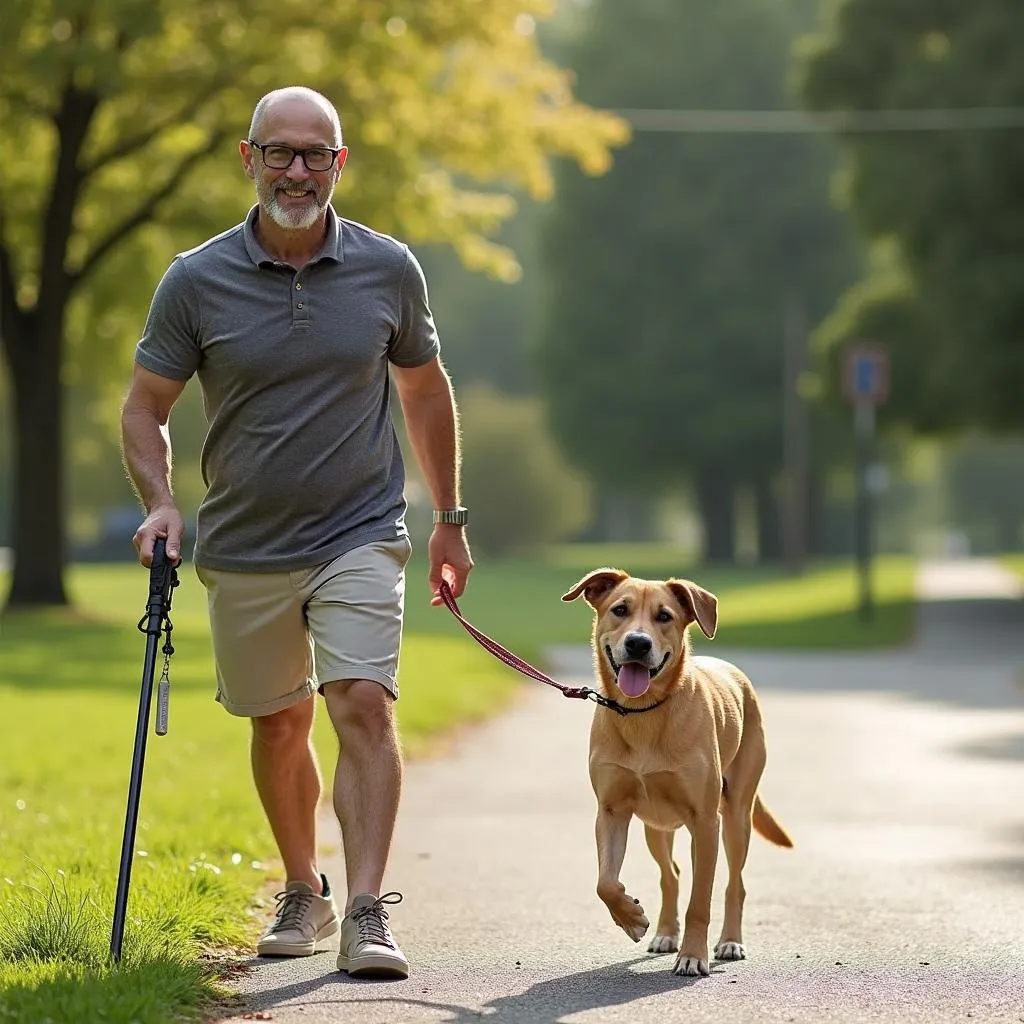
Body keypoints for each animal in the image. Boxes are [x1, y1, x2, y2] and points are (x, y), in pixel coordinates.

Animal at [561, 569, 790, 974]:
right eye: (620, 610)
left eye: (664, 616)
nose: (638, 644)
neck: (643, 713)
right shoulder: (611, 811)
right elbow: (605, 882)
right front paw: (631, 917)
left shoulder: (705, 819)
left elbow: (701, 901)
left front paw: (693, 955)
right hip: (656, 827)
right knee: (672, 875)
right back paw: (666, 933)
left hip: (734, 817)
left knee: (733, 883)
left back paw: (729, 941)